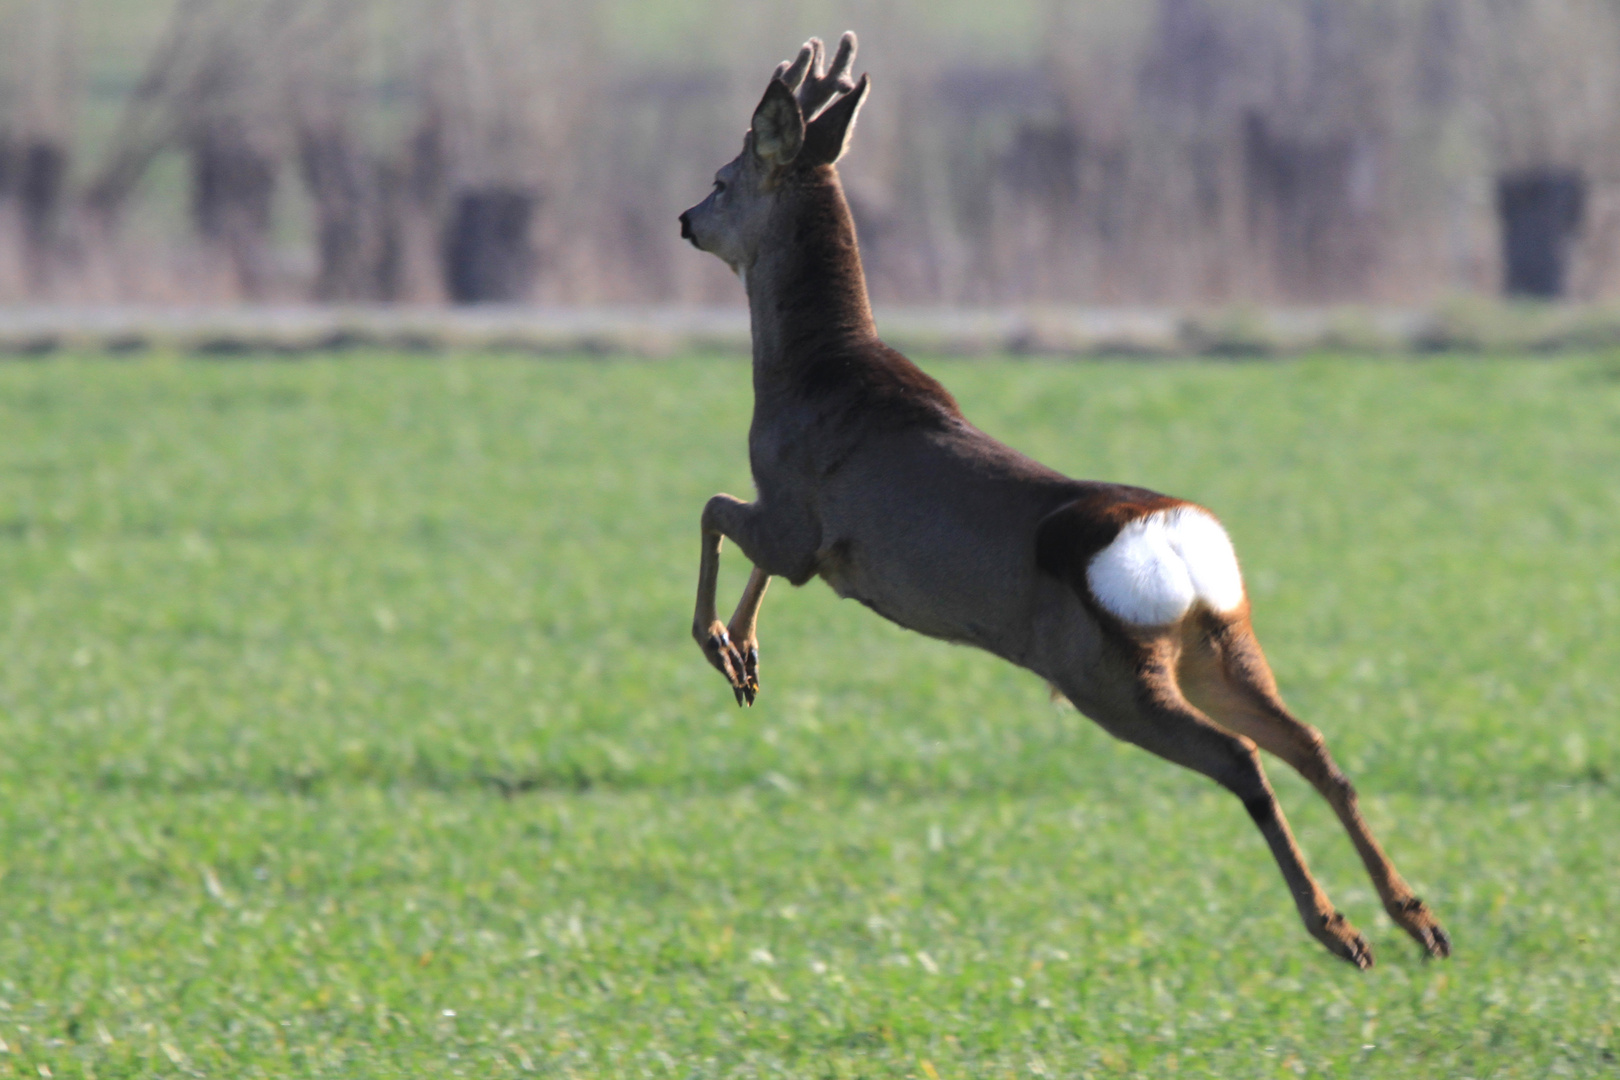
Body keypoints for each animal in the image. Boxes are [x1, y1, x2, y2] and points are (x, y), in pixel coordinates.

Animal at [677, 33, 1451, 965]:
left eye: (724, 177)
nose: (685, 219)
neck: (811, 370)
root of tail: (1176, 545)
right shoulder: (799, 534)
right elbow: (740, 539)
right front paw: (746, 658)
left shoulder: (797, 521)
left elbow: (713, 509)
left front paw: (719, 645)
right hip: (1218, 643)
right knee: (1312, 744)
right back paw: (1416, 918)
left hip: (1106, 673)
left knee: (1243, 760)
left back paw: (1336, 928)